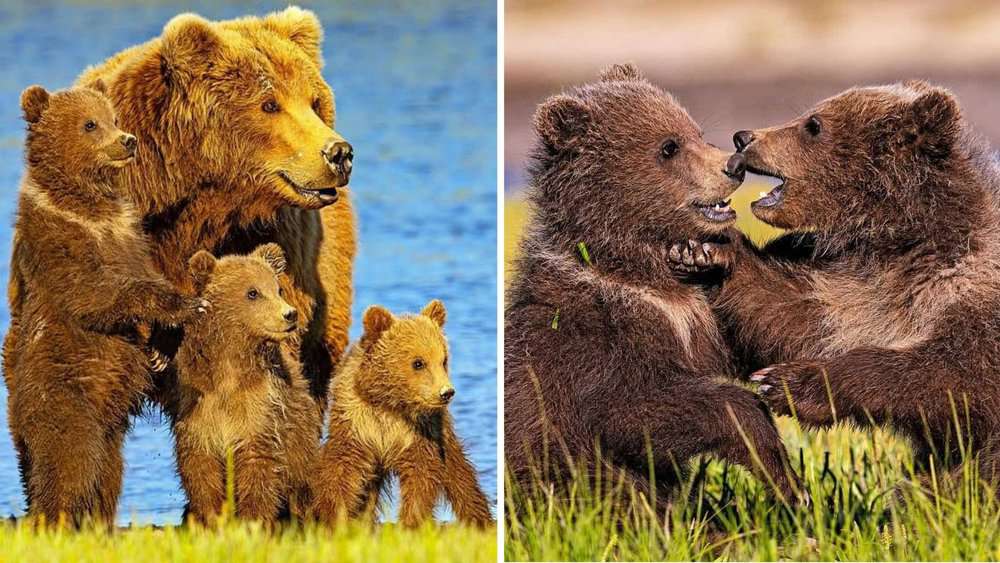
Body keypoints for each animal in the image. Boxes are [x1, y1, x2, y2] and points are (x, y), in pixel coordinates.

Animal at [6, 84, 206, 527]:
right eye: (89, 124)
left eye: (114, 117)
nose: (127, 141)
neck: (89, 203)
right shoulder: (60, 240)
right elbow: (95, 293)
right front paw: (184, 305)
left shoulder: (130, 234)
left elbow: (143, 271)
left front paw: (161, 349)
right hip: (63, 394)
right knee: (73, 462)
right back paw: (56, 516)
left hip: (108, 422)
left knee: (108, 470)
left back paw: (98, 519)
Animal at [171, 243, 321, 525]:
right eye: (252, 292)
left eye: (278, 289)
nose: (289, 314)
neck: (229, 368)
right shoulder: (197, 405)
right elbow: (200, 465)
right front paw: (211, 516)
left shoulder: (261, 406)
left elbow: (258, 463)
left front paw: (253, 519)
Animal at [310, 300, 494, 528]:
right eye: (418, 362)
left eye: (443, 360)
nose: (446, 392)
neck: (389, 404)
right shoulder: (358, 421)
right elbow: (344, 467)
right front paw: (332, 515)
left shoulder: (418, 431)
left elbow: (421, 472)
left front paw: (411, 521)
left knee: (459, 473)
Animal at [503, 63, 801, 510]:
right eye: (668, 147)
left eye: (697, 131)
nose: (732, 166)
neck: (637, 272)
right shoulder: (594, 341)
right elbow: (630, 413)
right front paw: (776, 468)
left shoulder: (695, 319)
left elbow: (758, 331)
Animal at [674, 81, 1000, 488]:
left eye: (814, 125)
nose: (743, 137)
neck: (898, 240)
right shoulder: (857, 288)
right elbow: (802, 316)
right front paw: (710, 251)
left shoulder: (969, 288)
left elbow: (954, 375)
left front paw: (786, 383)